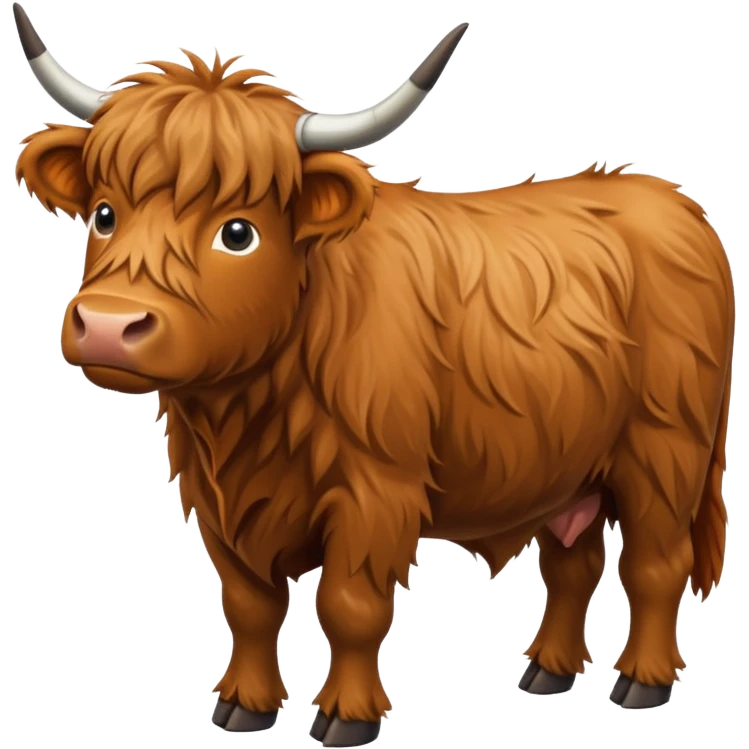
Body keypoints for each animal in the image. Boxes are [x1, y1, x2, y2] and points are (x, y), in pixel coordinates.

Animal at [14, 2, 734, 743]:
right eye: (104, 214)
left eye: (238, 232)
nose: (107, 323)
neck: (244, 415)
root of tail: (669, 200)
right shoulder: (216, 499)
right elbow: (249, 603)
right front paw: (244, 704)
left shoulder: (375, 490)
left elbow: (349, 604)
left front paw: (346, 715)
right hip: (566, 465)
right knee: (574, 562)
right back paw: (548, 670)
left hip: (664, 450)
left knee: (655, 563)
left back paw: (641, 681)